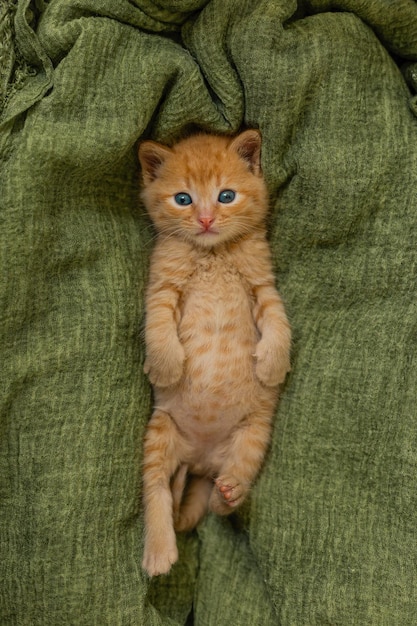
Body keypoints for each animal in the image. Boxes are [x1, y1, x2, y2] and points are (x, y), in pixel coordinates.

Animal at [136, 129, 290, 572]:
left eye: (226, 196)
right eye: (183, 199)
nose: (205, 219)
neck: (212, 253)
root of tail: (203, 461)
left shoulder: (262, 283)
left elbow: (279, 320)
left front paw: (274, 365)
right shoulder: (161, 286)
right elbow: (157, 325)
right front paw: (166, 366)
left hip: (253, 434)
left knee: (218, 500)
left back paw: (230, 493)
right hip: (160, 432)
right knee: (157, 489)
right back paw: (159, 551)